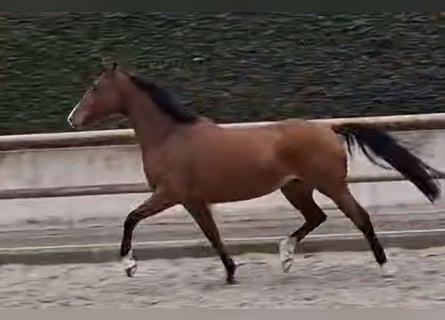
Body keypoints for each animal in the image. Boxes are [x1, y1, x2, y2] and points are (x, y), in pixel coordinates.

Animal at [67, 61, 438, 284]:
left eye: (96, 87)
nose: (73, 119)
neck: (170, 136)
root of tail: (329, 129)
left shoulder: (169, 194)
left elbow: (131, 218)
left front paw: (129, 265)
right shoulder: (192, 200)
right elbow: (212, 235)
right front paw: (231, 273)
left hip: (331, 185)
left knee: (360, 218)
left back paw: (385, 266)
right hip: (296, 188)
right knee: (316, 217)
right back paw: (286, 256)